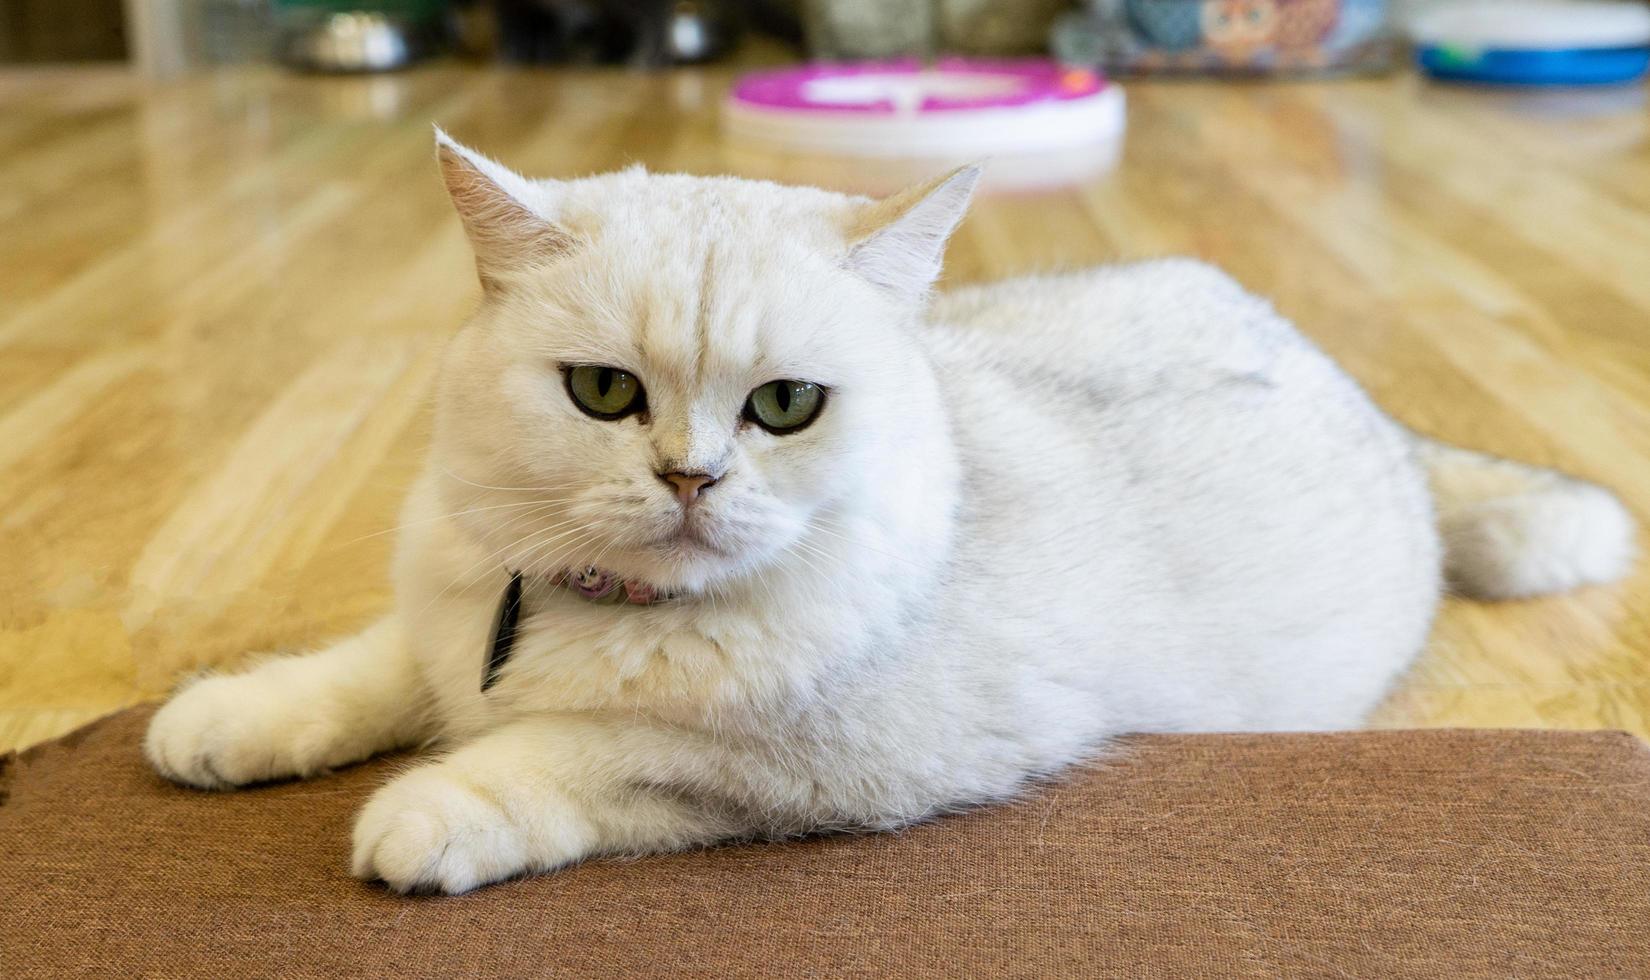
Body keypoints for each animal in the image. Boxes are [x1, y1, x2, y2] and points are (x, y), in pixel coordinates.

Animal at [145, 133, 1636, 890]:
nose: (689, 479)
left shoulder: (825, 765)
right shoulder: (452, 616)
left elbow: (580, 750)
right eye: (603, 392)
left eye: (785, 407)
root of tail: (1353, 382)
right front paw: (227, 720)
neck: (593, 607)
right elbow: (368, 667)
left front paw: (429, 813)